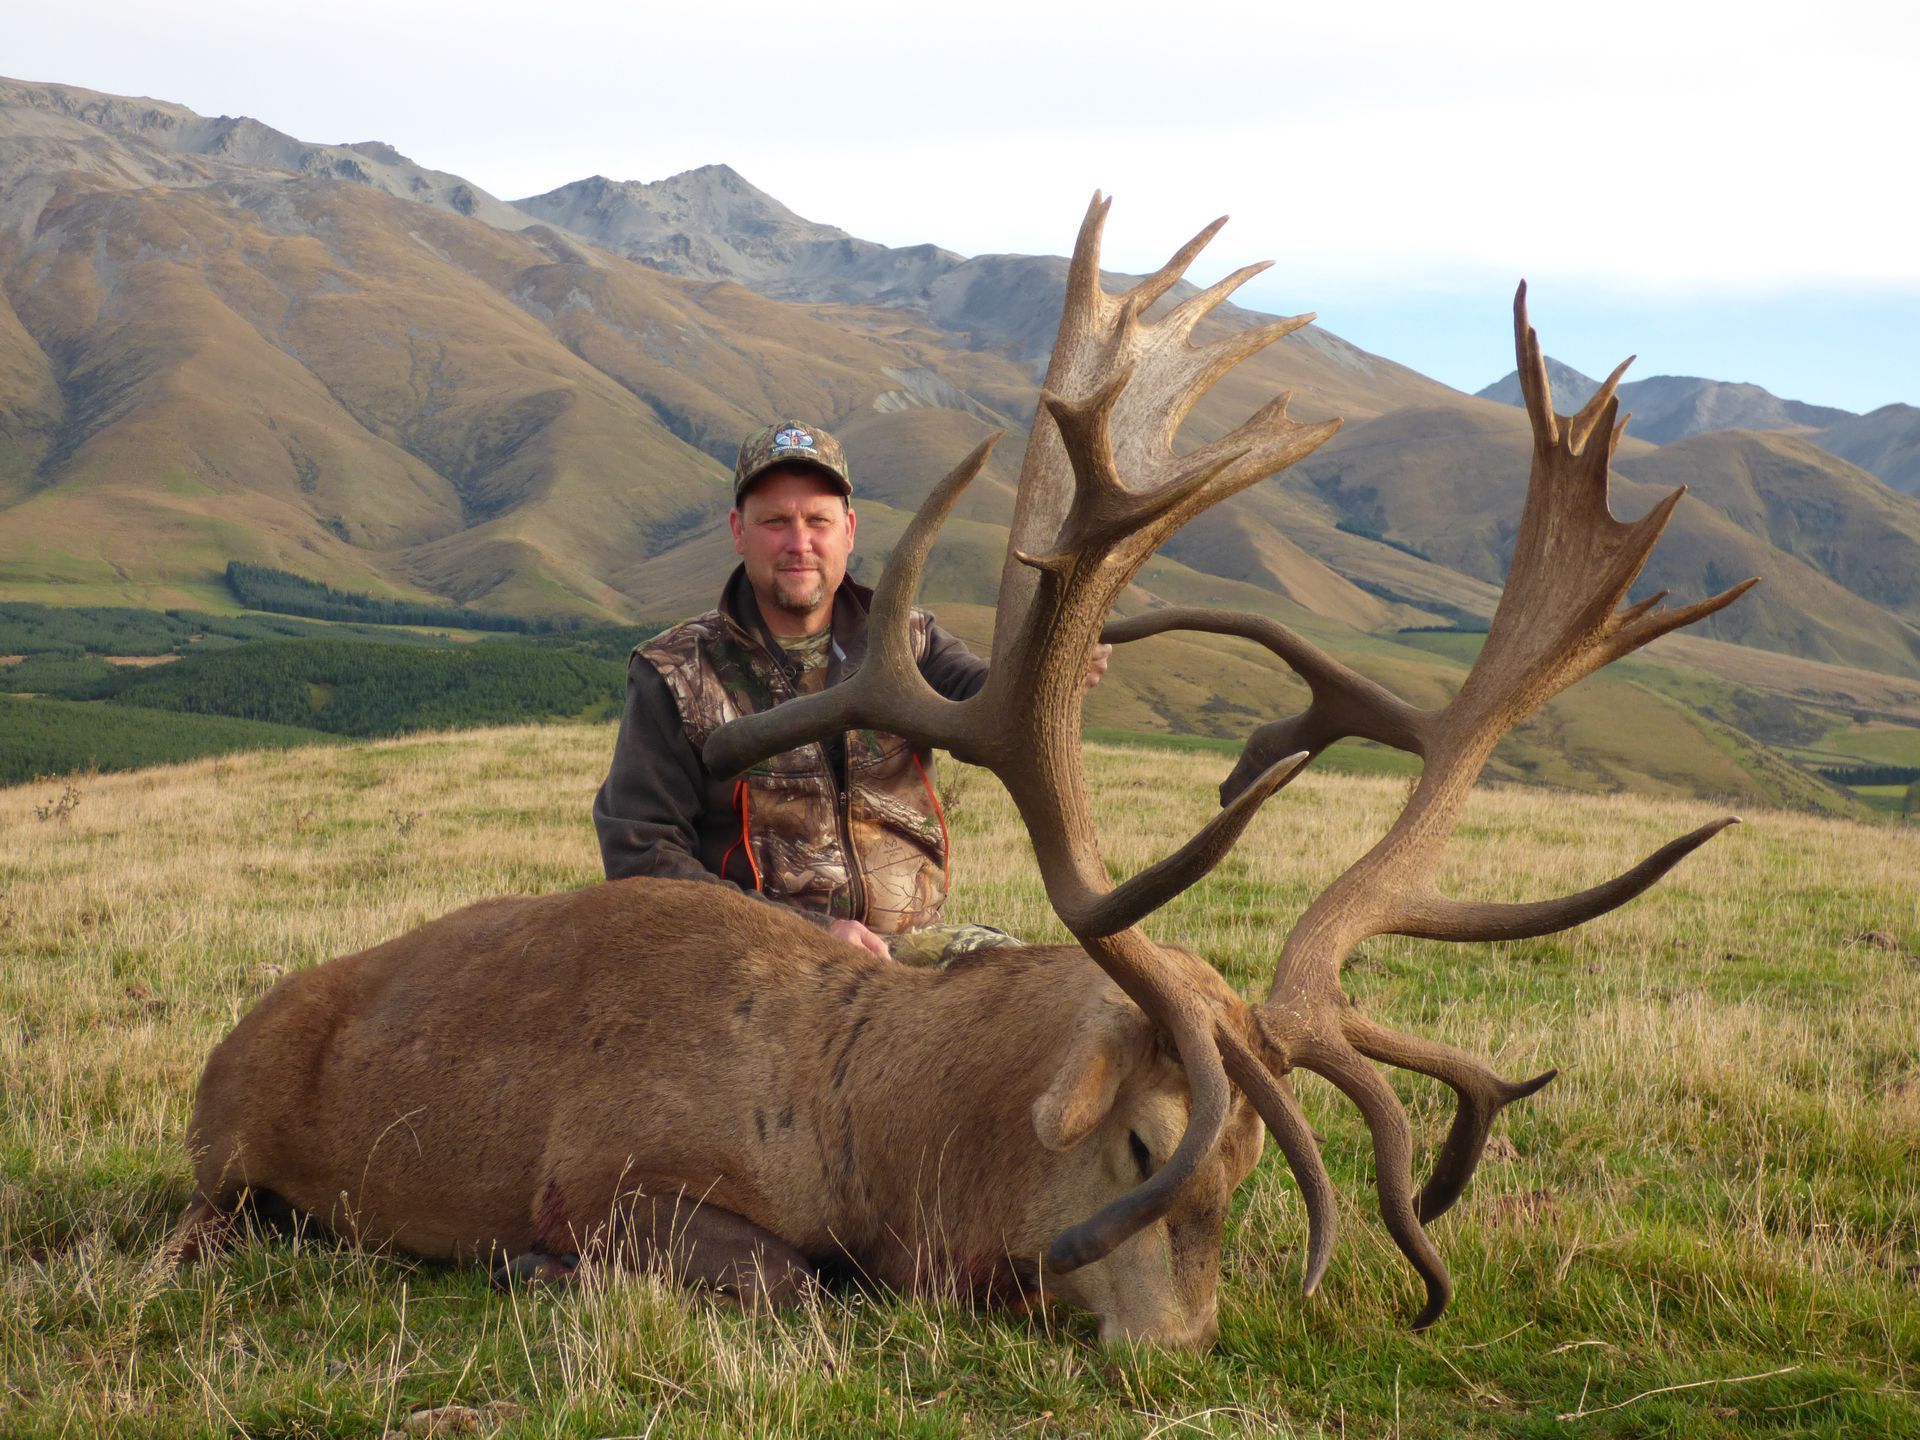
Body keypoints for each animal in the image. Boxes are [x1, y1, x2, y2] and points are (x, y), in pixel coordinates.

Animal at [173, 194, 1753, 1345]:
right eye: (1143, 1145)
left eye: (1249, 1176)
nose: (1178, 1348)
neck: (874, 1129)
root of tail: (232, 1036)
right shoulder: (608, 1172)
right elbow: (790, 1279)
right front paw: (529, 1270)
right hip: (226, 1148)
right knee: (205, 1215)